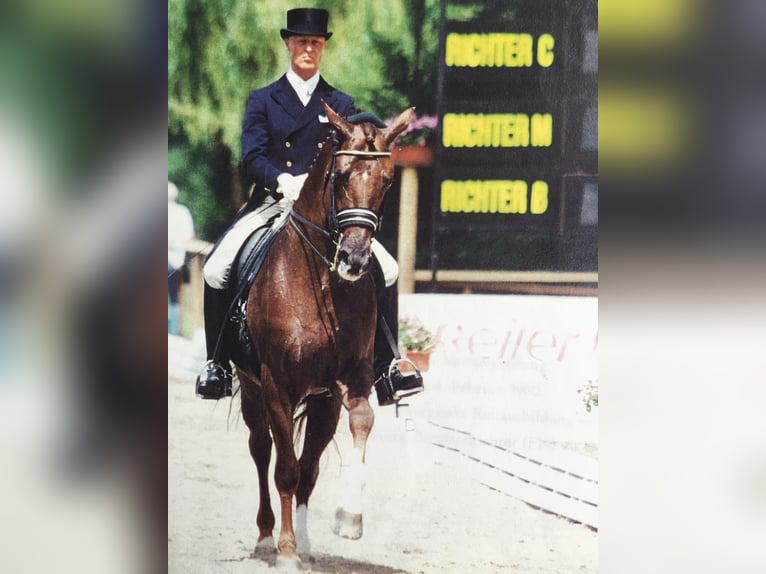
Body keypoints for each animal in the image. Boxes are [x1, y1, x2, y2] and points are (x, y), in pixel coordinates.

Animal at [237, 102, 414, 568]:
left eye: (387, 181)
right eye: (340, 176)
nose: (355, 259)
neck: (320, 280)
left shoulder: (350, 378)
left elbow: (360, 425)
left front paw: (349, 518)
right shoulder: (277, 383)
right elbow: (284, 469)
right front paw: (285, 552)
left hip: (321, 401)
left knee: (309, 466)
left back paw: (304, 539)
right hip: (251, 385)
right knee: (262, 450)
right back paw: (268, 538)